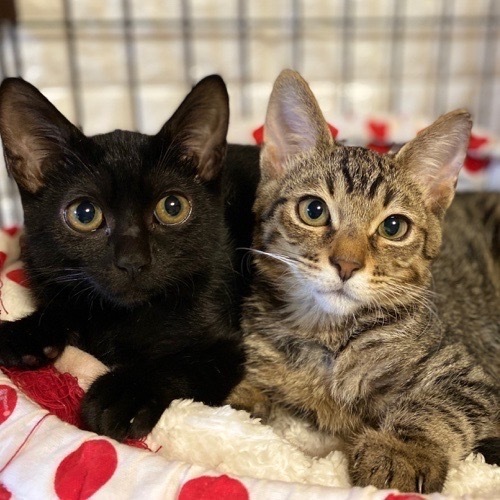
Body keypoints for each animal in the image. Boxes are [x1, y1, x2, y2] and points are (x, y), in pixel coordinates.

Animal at [0, 75, 259, 441]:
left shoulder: (231, 345)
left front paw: (121, 395)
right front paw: (26, 334)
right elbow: (63, 304)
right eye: (84, 213)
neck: (121, 317)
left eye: (172, 207)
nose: (133, 261)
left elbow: (180, 362)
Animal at [227, 69, 500, 493]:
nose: (347, 264)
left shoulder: (470, 375)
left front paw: (402, 451)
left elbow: (440, 407)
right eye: (313, 210)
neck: (328, 338)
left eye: (393, 227)